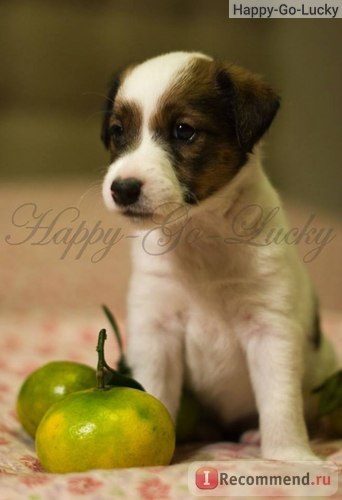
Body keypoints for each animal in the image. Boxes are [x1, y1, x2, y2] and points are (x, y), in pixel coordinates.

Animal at [101, 52, 336, 458]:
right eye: (117, 131)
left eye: (184, 130)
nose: (123, 188)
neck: (201, 234)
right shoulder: (156, 327)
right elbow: (156, 391)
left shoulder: (270, 329)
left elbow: (279, 401)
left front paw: (289, 456)